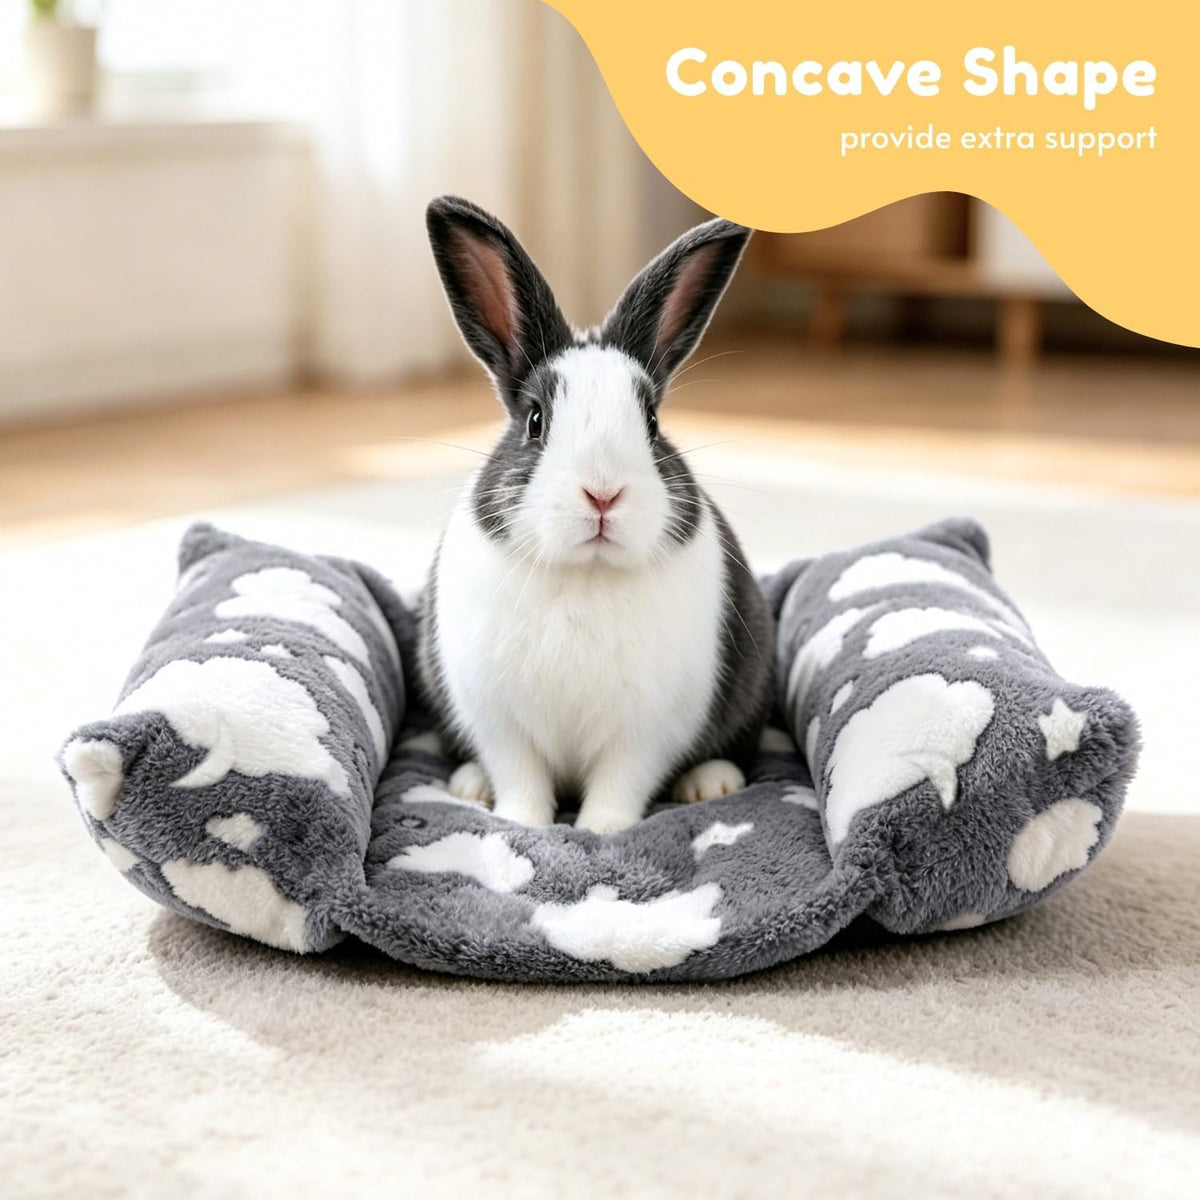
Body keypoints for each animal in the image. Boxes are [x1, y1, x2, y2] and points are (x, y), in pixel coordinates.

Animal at [418, 195, 773, 834]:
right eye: (535, 420)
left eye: (652, 422)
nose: (603, 494)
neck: (587, 572)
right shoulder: (498, 722)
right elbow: (520, 777)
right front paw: (524, 827)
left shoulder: (647, 731)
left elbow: (619, 784)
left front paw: (600, 832)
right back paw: (470, 786)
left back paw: (711, 784)